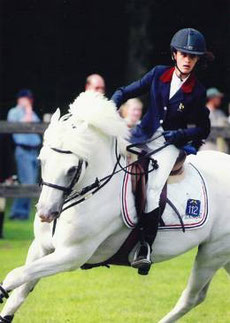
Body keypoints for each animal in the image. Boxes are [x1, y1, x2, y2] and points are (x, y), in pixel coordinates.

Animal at [0, 92, 230, 323]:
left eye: (72, 169)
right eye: (42, 161)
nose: (46, 213)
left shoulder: (71, 255)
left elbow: (15, 275)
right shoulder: (41, 247)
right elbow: (20, 292)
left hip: (213, 252)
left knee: (191, 298)